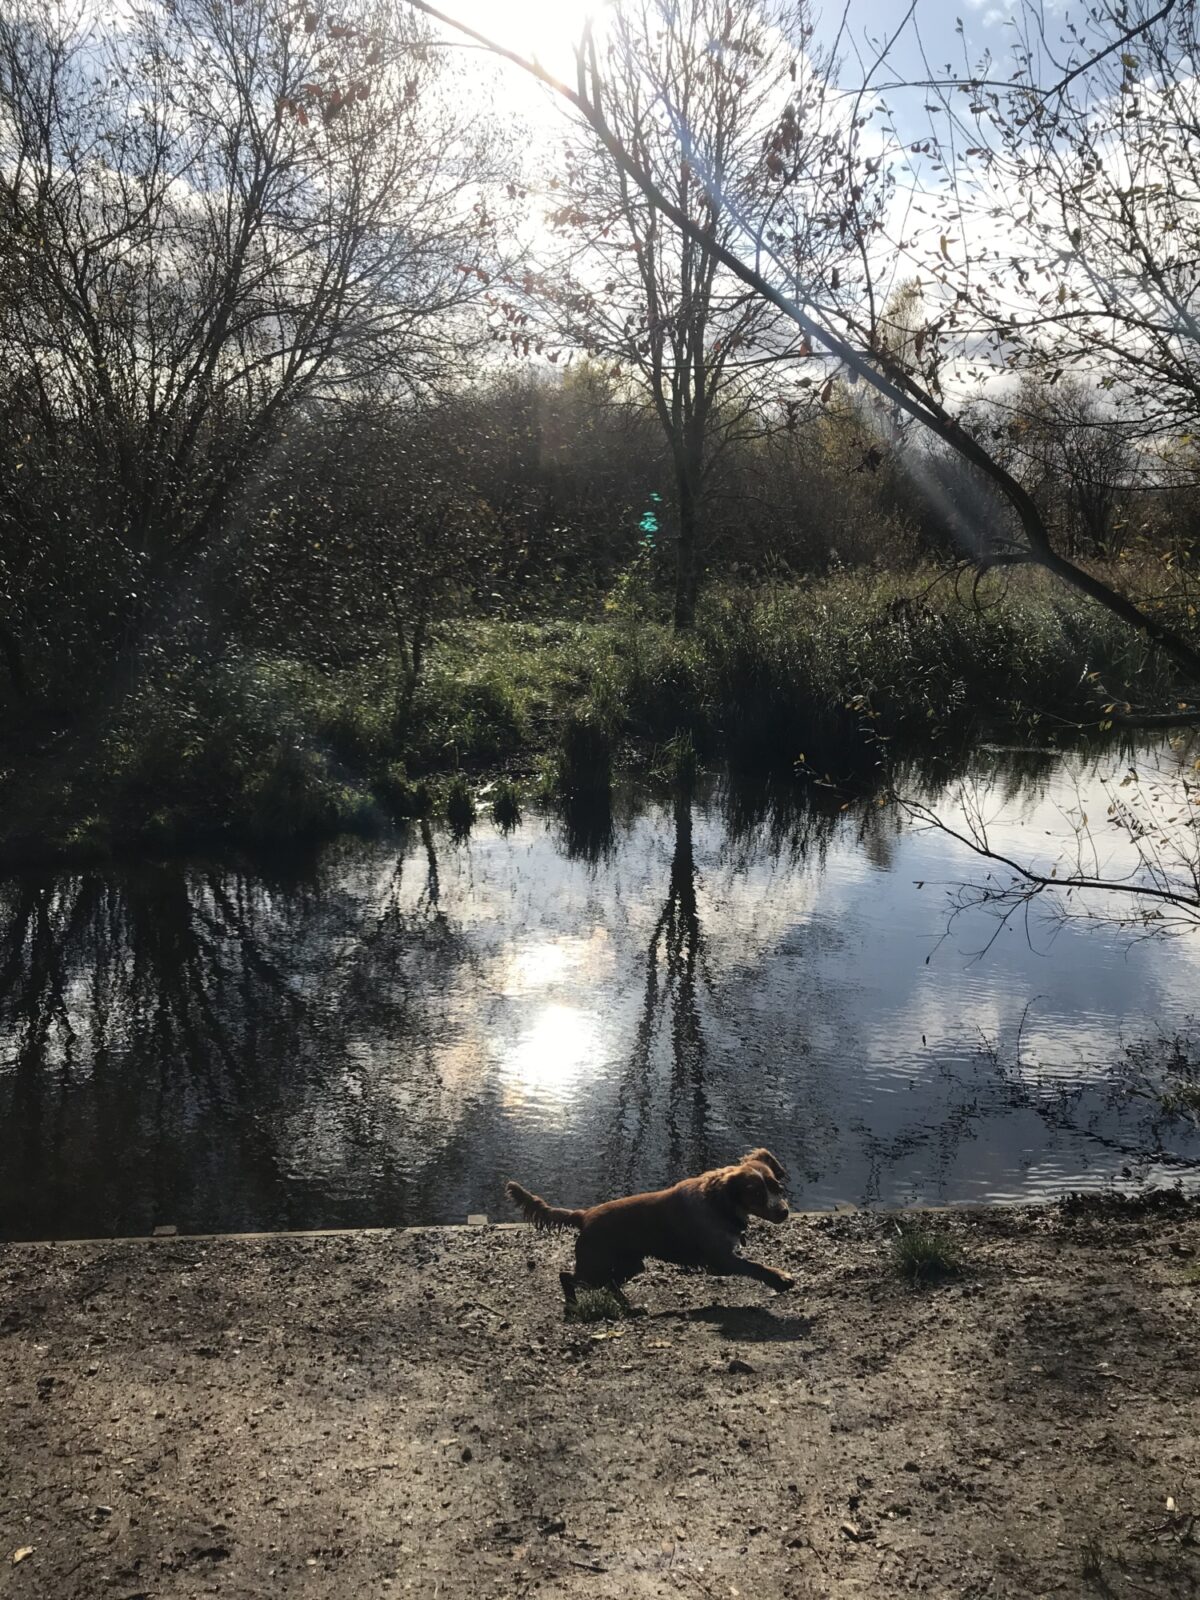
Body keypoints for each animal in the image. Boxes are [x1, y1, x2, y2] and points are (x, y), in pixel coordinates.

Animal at [508, 1145, 800, 1305]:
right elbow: (755, 1266)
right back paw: (572, 1306)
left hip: (630, 1265)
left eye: (776, 1187)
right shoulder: (721, 1259)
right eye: (756, 1194)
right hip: (594, 1269)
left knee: (610, 1284)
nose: (784, 1212)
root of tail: (584, 1215)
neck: (719, 1203)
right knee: (566, 1277)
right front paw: (781, 1278)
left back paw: (630, 1308)